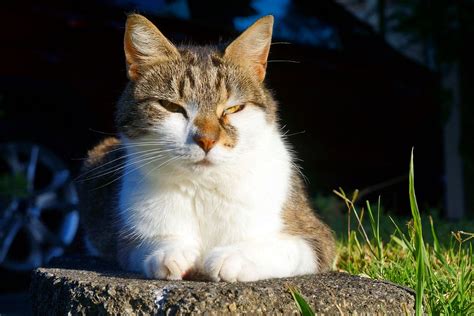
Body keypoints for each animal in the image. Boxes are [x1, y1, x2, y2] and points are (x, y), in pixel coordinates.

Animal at [78, 12, 336, 282]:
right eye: (171, 107)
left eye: (233, 108)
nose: (206, 140)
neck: (203, 187)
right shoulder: (126, 236)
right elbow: (140, 244)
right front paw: (170, 252)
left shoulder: (316, 239)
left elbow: (284, 247)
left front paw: (234, 257)